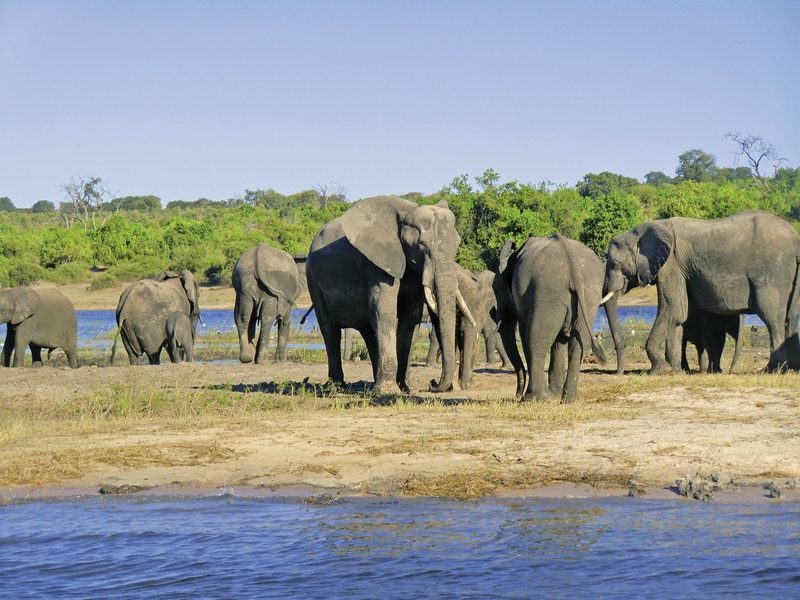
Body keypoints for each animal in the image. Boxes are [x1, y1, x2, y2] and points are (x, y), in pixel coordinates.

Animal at [304, 195, 468, 396]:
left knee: (368, 330)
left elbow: (410, 317)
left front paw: (403, 388)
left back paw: (374, 383)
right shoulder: (378, 262)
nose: (433, 383)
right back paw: (337, 387)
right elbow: (385, 310)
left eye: (457, 246)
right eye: (421, 247)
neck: (408, 212)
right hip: (312, 278)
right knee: (329, 329)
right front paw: (389, 392)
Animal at [494, 236, 608, 404]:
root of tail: (573, 267)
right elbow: (559, 341)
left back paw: (533, 399)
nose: (517, 395)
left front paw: (545, 397)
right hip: (589, 295)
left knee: (536, 339)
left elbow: (526, 334)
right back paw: (568, 400)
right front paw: (554, 395)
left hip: (548, 291)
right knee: (576, 344)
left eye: (495, 291)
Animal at [604, 209, 800, 372]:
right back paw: (792, 369)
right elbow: (678, 315)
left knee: (772, 318)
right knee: (791, 317)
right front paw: (676, 371)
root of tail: (796, 240)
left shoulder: (671, 265)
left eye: (615, 264)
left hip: (773, 272)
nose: (618, 372)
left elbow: (672, 309)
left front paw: (660, 370)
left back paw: (772, 369)